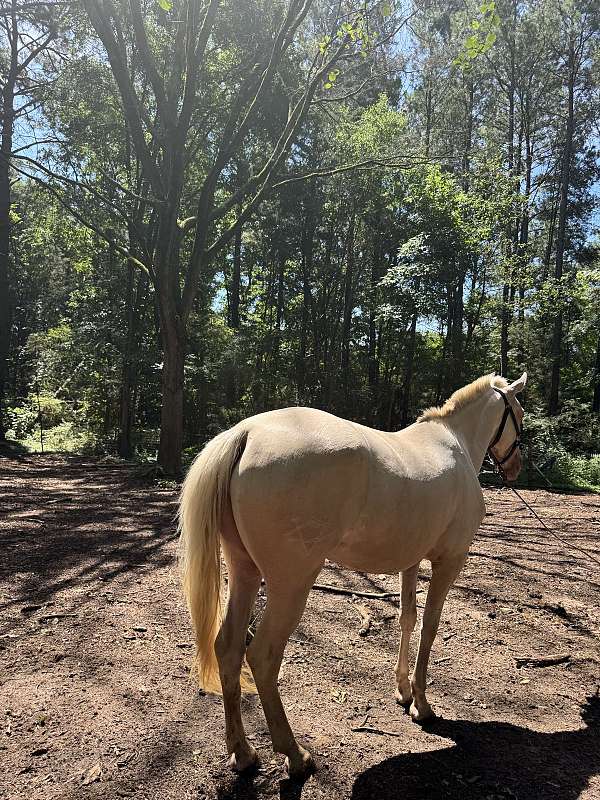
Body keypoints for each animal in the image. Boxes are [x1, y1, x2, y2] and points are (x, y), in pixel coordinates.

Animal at [179, 371, 527, 779]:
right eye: (519, 414)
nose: (516, 467)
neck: (452, 441)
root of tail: (246, 432)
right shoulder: (449, 562)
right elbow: (429, 627)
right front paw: (421, 705)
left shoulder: (411, 561)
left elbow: (408, 618)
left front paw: (403, 691)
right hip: (290, 585)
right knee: (262, 656)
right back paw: (294, 755)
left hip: (244, 572)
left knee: (228, 649)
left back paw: (244, 753)